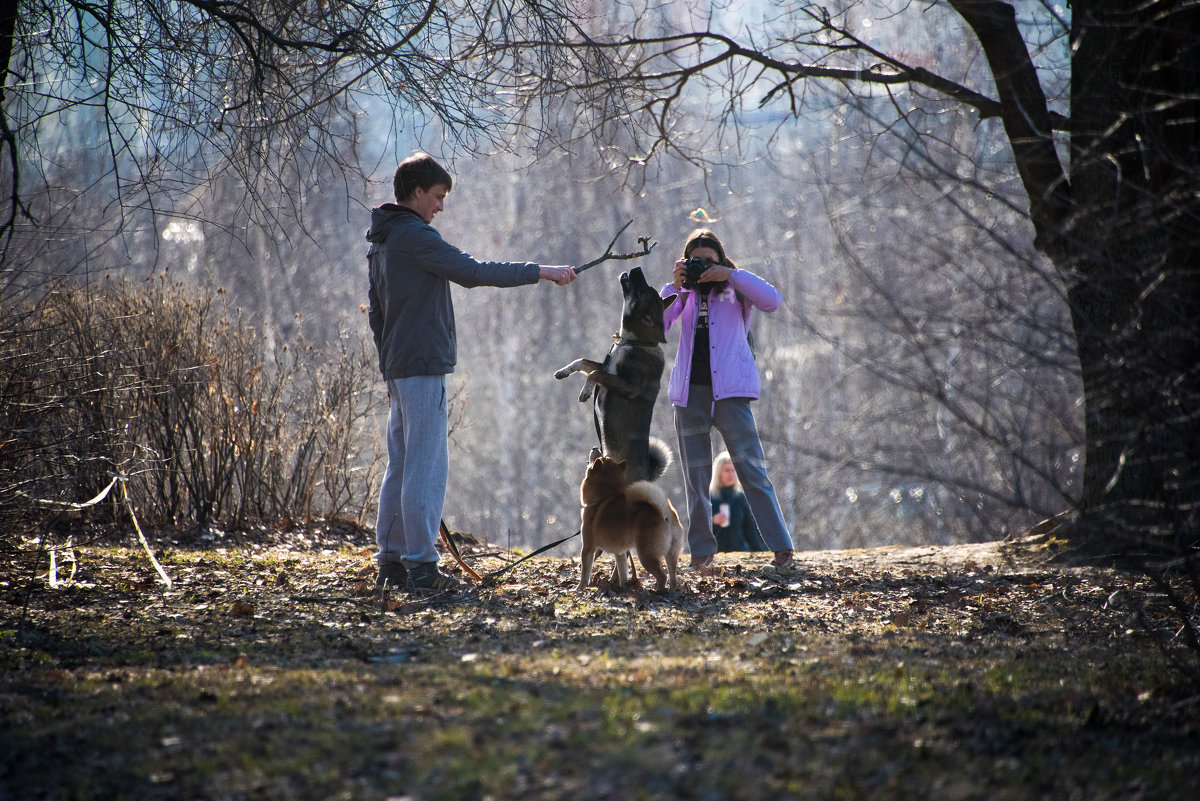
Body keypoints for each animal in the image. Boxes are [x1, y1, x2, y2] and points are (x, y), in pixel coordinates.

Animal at [552, 267, 676, 482]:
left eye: (642, 291)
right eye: (647, 288)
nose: (636, 268)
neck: (635, 341)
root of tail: (647, 476)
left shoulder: (627, 386)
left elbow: (594, 373)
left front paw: (586, 391)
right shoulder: (606, 367)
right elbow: (583, 362)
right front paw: (564, 371)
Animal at [580, 453, 686, 592]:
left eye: (600, 457)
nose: (594, 449)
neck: (601, 497)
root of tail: (664, 514)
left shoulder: (588, 548)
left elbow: (585, 573)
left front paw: (580, 589)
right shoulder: (620, 553)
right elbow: (622, 571)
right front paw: (624, 586)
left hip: (646, 556)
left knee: (662, 576)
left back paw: (659, 592)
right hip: (671, 555)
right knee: (673, 577)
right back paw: (672, 591)